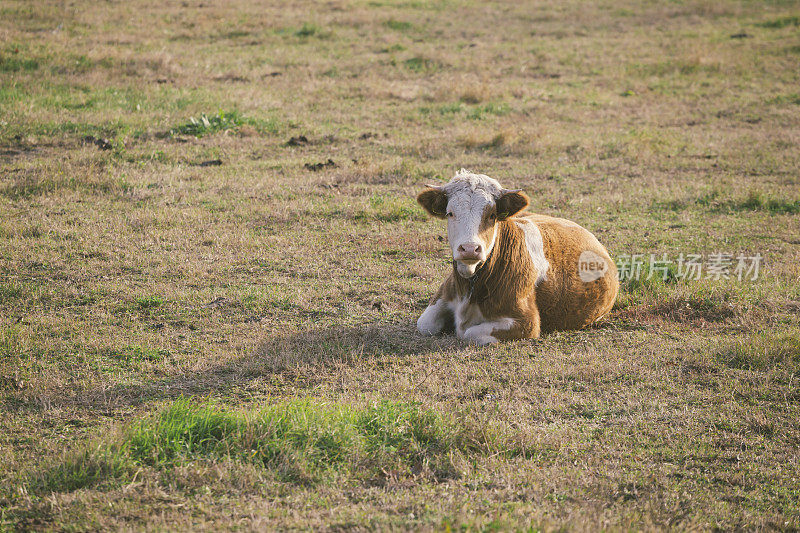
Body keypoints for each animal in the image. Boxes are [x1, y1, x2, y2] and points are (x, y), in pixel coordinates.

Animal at [418, 170, 620, 344]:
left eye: (492, 215)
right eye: (450, 213)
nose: (469, 248)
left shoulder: (527, 322)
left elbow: (469, 333)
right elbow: (425, 325)